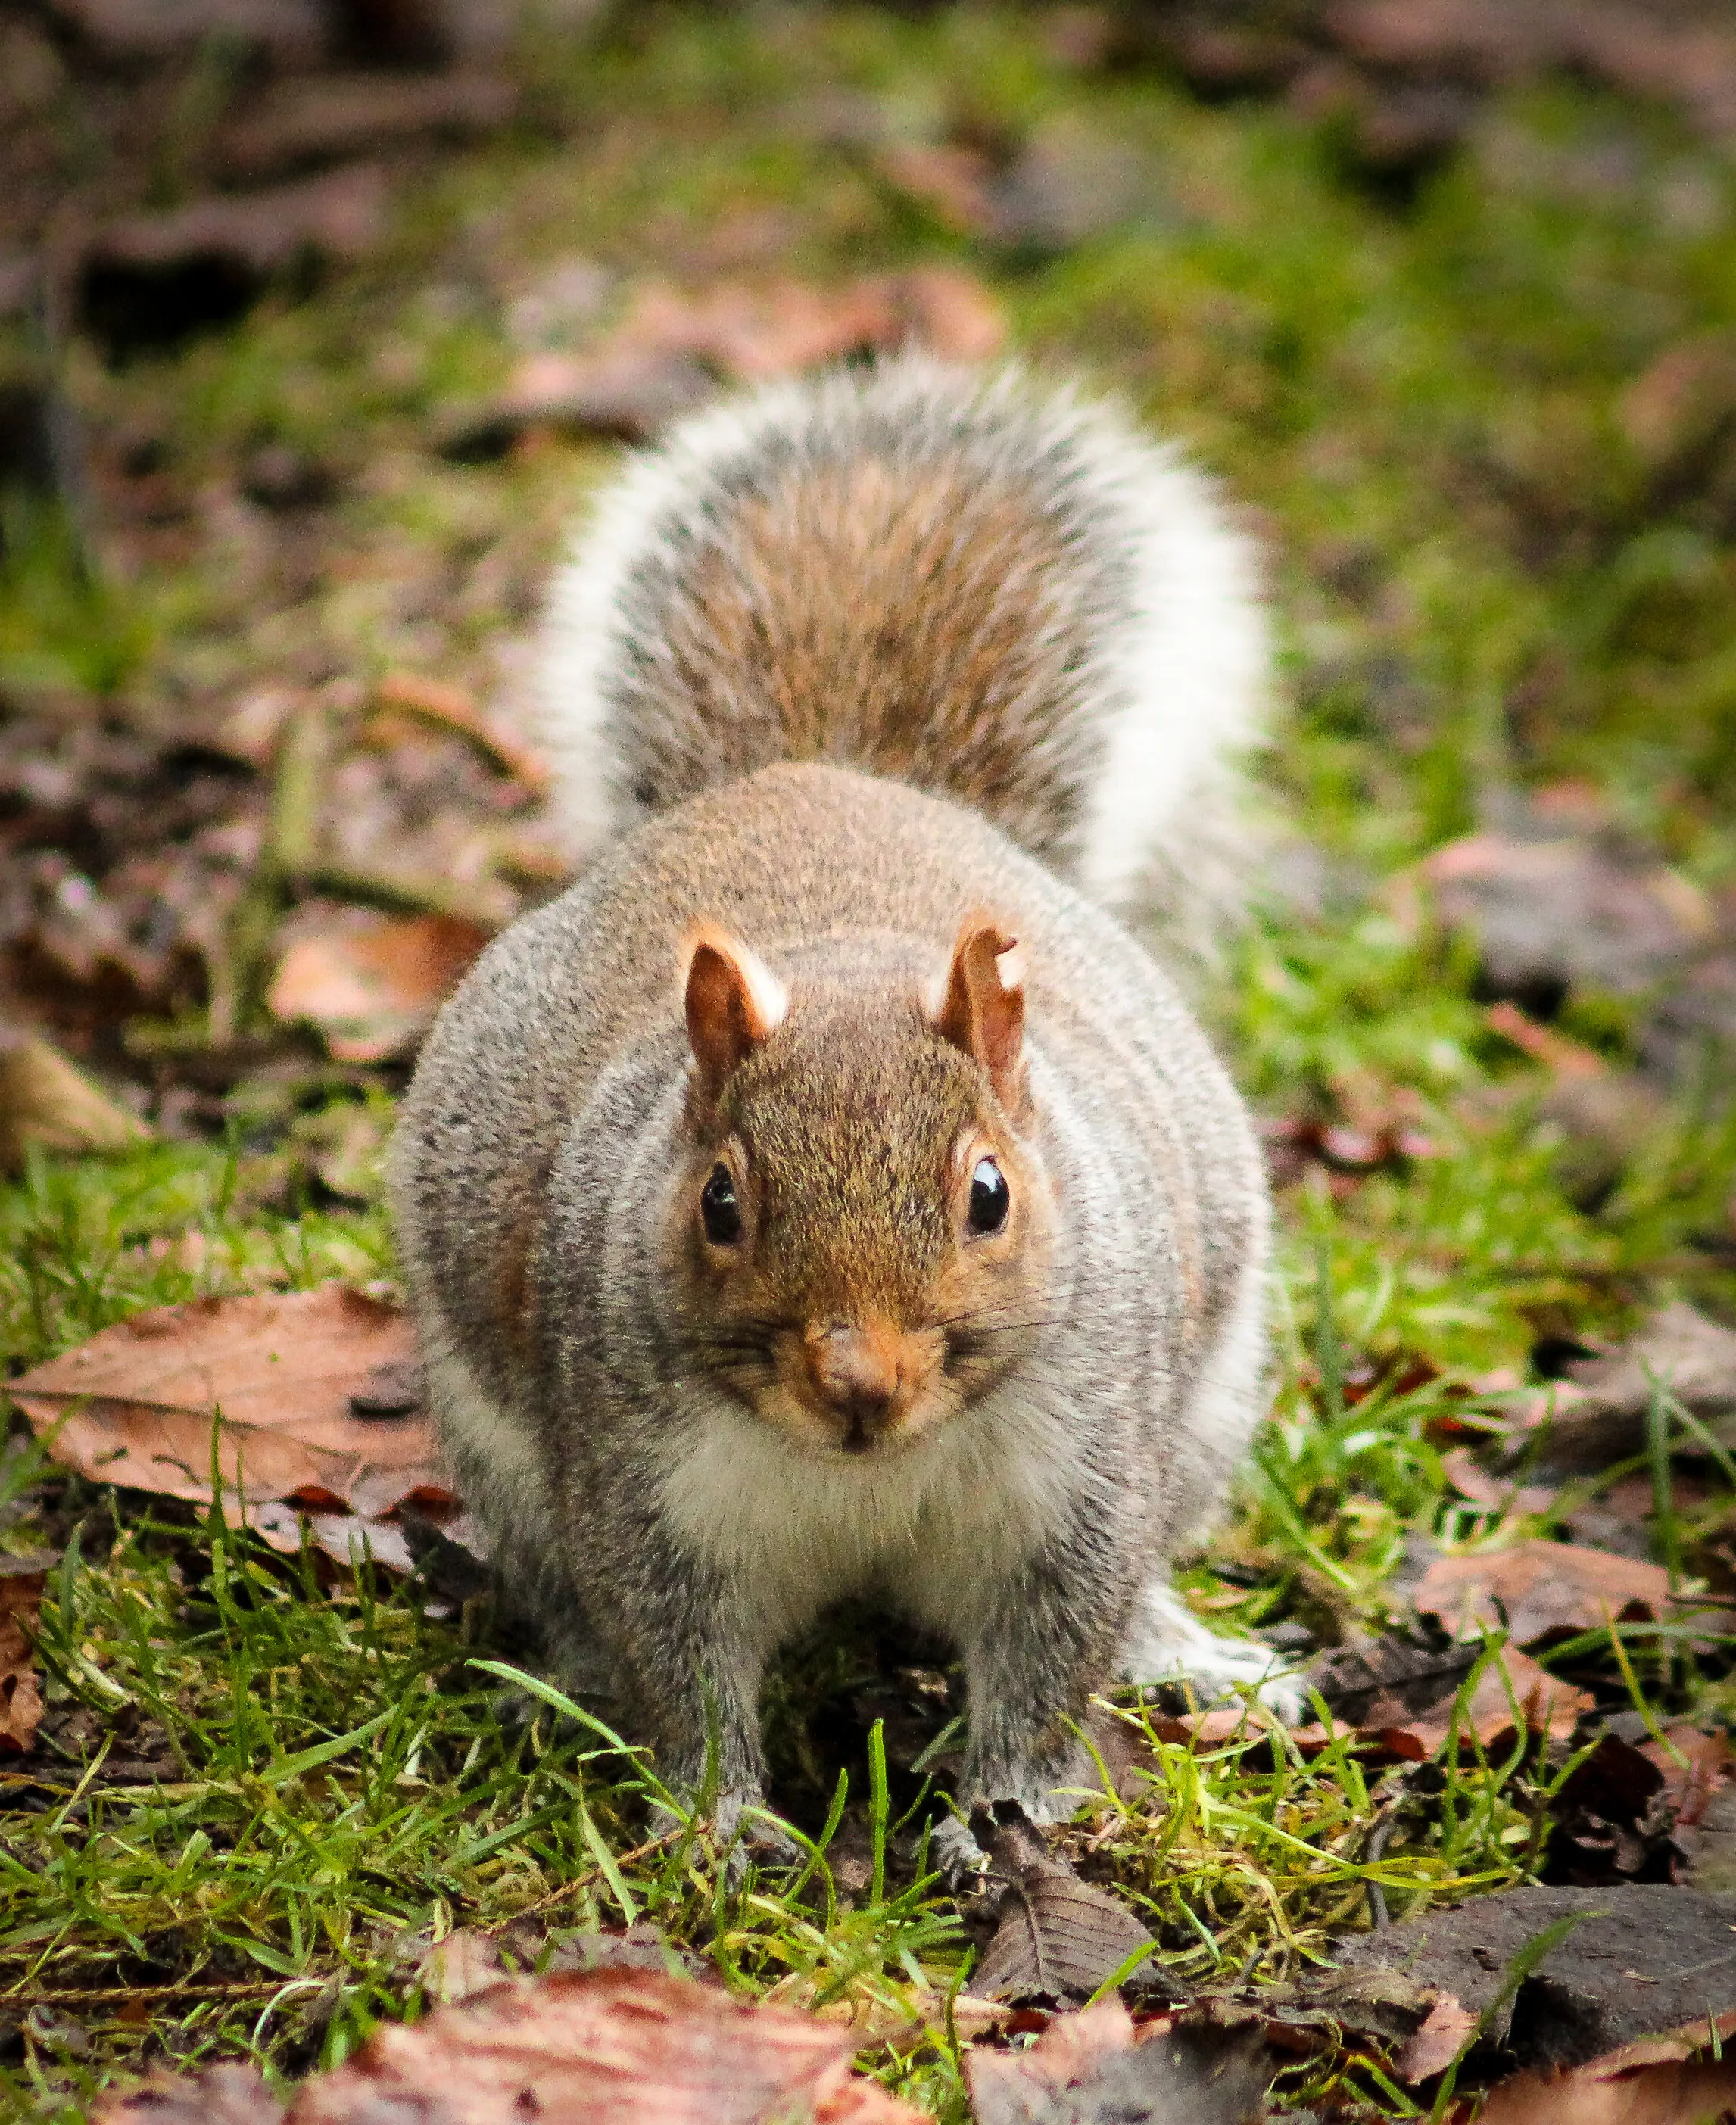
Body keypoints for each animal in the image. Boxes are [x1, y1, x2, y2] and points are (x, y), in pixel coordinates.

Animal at [388, 356, 1290, 1851]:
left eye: (989, 1193)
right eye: (718, 1202)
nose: (857, 1382)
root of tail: (824, 774)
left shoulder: (1082, 1479)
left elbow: (1052, 1657)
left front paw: (1002, 1812)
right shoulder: (642, 1489)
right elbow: (678, 1665)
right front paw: (715, 1825)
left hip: (1200, 1415)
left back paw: (1185, 1648)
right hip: (502, 1452)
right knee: (573, 1599)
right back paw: (563, 1680)